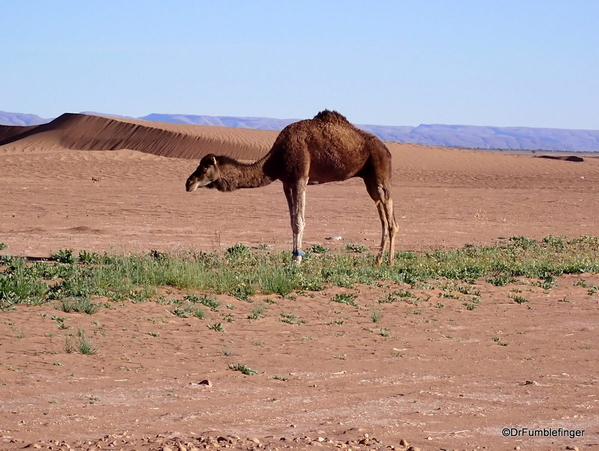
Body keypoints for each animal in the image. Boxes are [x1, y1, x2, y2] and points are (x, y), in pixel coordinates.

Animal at [186, 109, 398, 264]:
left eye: (204, 168)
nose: (189, 183)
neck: (275, 160)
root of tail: (386, 149)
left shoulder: (299, 178)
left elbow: (299, 221)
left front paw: (296, 261)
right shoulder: (286, 182)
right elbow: (291, 221)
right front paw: (293, 257)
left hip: (379, 169)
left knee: (389, 213)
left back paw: (390, 262)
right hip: (368, 178)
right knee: (382, 212)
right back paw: (378, 261)